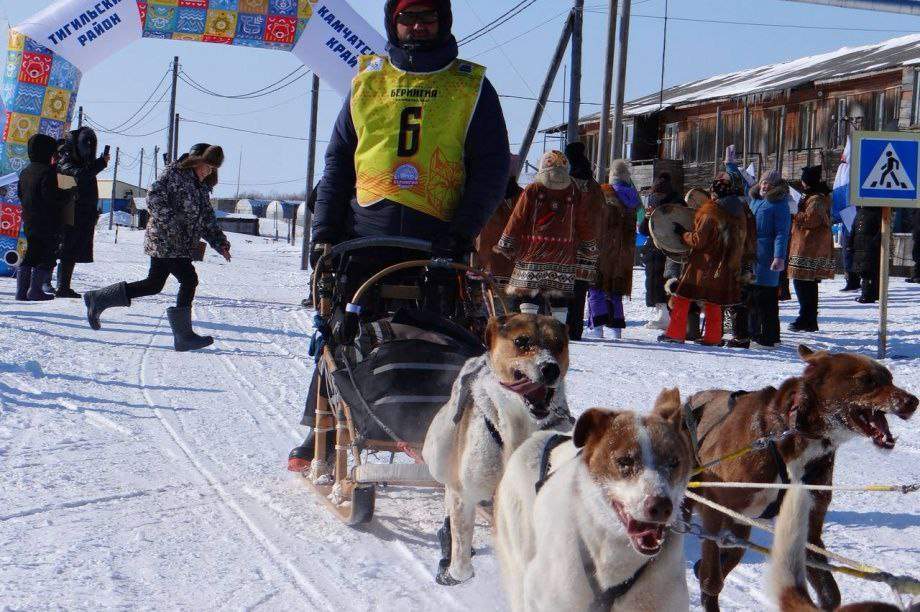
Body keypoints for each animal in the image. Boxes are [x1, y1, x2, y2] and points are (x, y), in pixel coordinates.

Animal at [420, 314, 572, 584]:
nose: (550, 368)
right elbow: (462, 563)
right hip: (440, 453)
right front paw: (453, 570)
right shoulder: (466, 494)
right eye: (522, 341)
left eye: (559, 344)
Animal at [684, 346, 912, 608]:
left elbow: (830, 593)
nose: (912, 402)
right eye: (866, 379)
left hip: (742, 521)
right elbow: (711, 579)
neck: (789, 434)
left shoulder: (808, 526)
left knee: (734, 548)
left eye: (890, 378)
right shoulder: (715, 505)